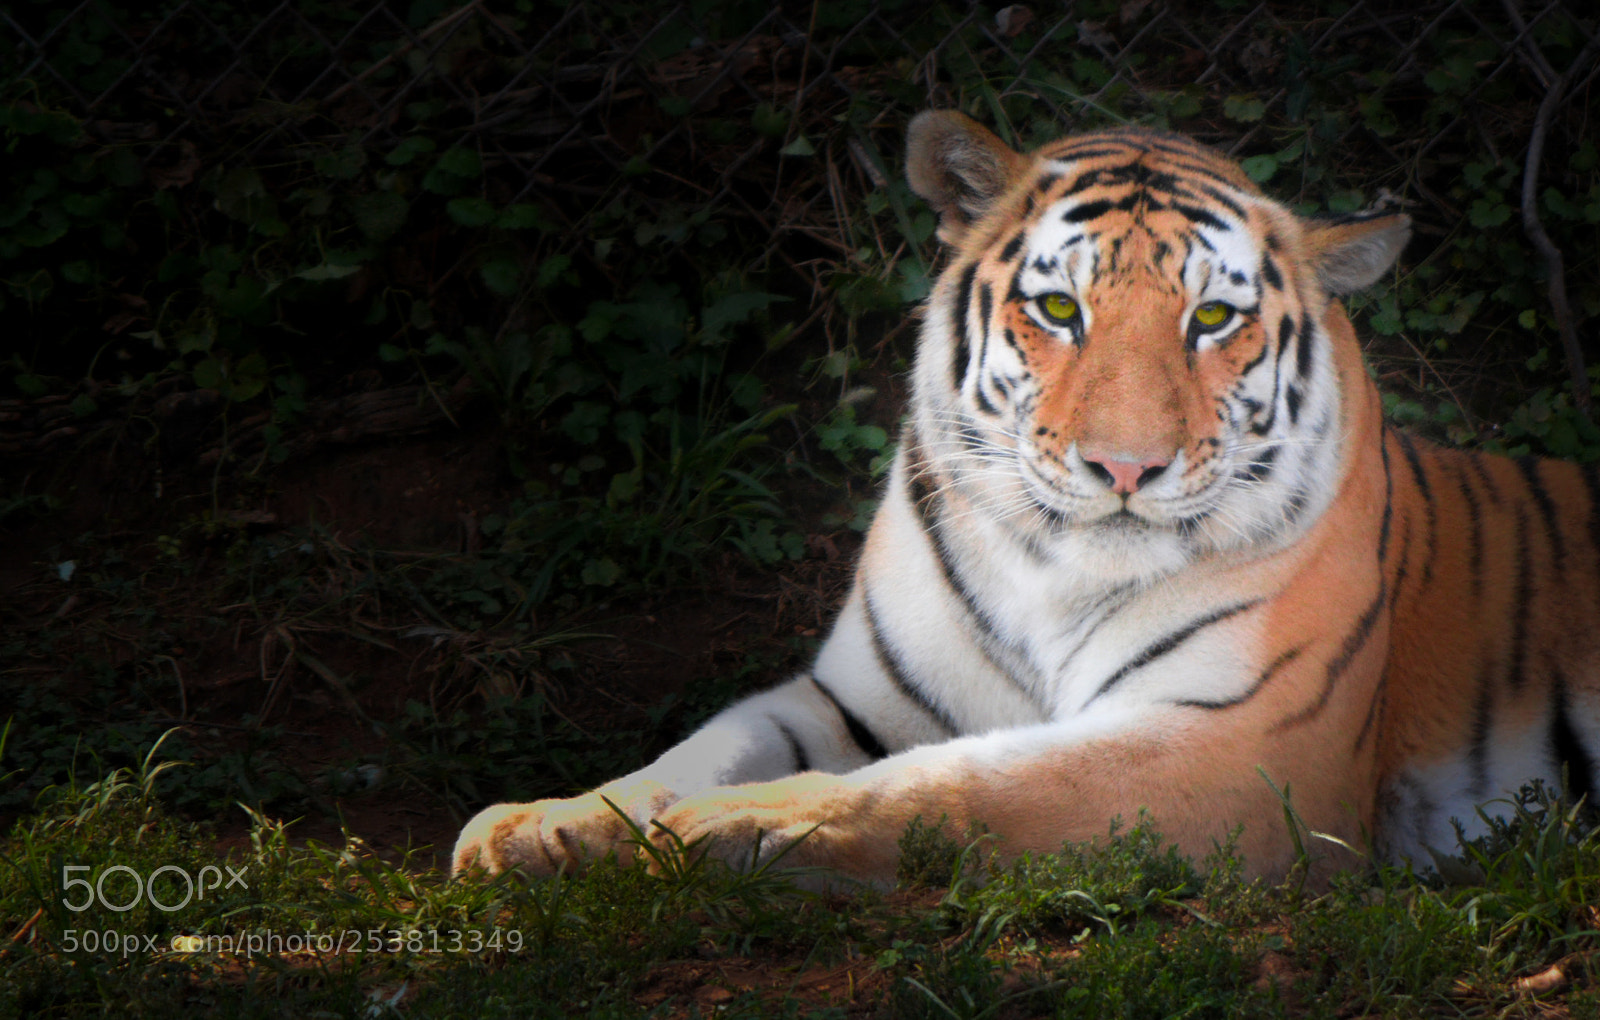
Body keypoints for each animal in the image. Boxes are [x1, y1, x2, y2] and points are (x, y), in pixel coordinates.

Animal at [452, 110, 1600, 886]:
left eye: (1212, 320)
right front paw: (544, 824)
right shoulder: (854, 699)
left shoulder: (1250, 751)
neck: (1053, 574)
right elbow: (702, 746)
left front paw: (738, 831)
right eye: (1058, 309)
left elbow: (970, 781)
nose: (1126, 469)